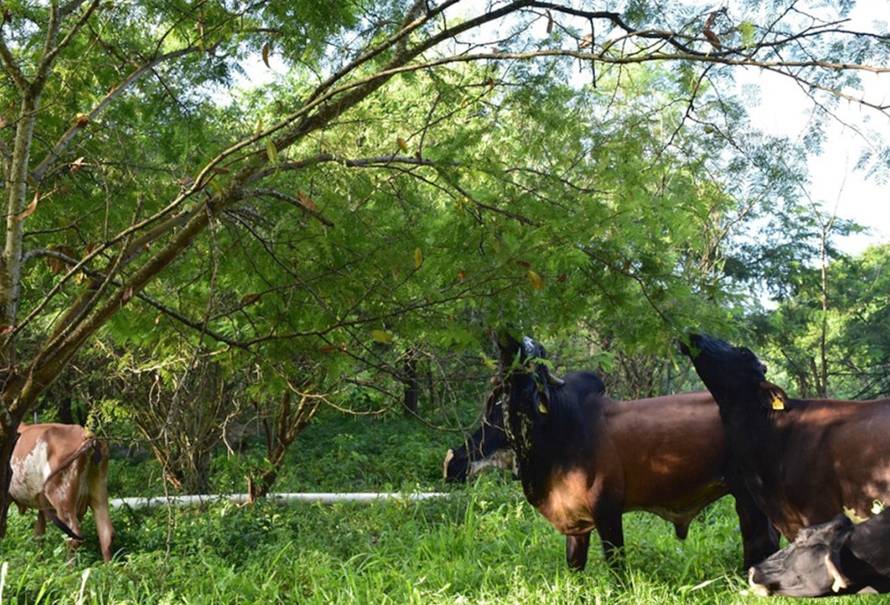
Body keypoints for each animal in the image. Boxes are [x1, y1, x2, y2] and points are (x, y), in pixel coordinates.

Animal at [9, 423, 114, 561]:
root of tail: (88, 437)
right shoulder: (43, 505)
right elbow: (39, 534)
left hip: (62, 498)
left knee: (74, 537)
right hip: (99, 493)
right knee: (106, 534)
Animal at [495, 333, 778, 571]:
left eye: (534, 372)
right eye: (507, 378)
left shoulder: (607, 509)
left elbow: (616, 563)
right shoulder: (576, 524)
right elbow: (575, 565)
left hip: (747, 494)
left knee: (761, 539)